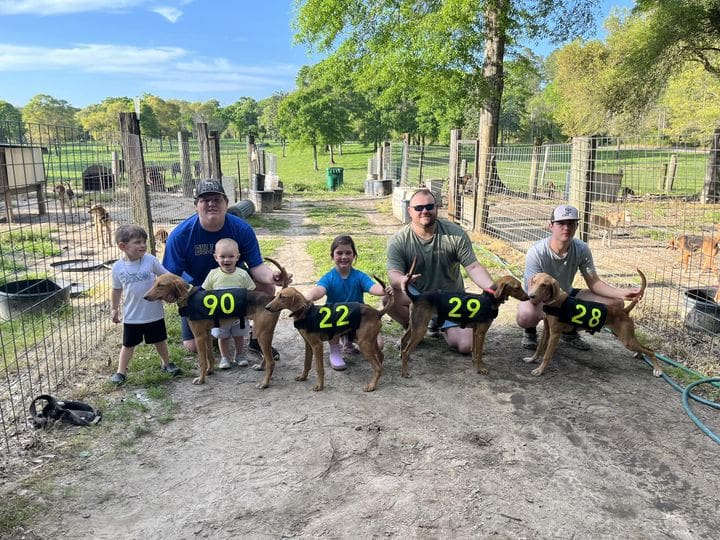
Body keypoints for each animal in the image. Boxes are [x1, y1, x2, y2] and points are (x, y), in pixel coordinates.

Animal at [143, 260, 290, 386]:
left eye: (161, 285)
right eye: (154, 283)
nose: (145, 297)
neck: (189, 297)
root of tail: (271, 299)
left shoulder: (199, 336)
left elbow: (202, 360)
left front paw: (201, 379)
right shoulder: (207, 334)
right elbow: (210, 356)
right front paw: (210, 372)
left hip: (261, 333)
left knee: (271, 362)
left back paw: (264, 384)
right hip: (264, 333)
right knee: (267, 357)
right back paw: (260, 366)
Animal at [400, 256, 528, 376]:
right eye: (517, 287)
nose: (528, 297)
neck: (489, 298)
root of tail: (417, 297)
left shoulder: (475, 332)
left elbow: (474, 351)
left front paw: (475, 363)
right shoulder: (481, 333)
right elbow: (479, 353)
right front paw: (480, 369)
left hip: (414, 326)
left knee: (403, 341)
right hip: (420, 329)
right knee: (406, 351)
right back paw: (405, 372)